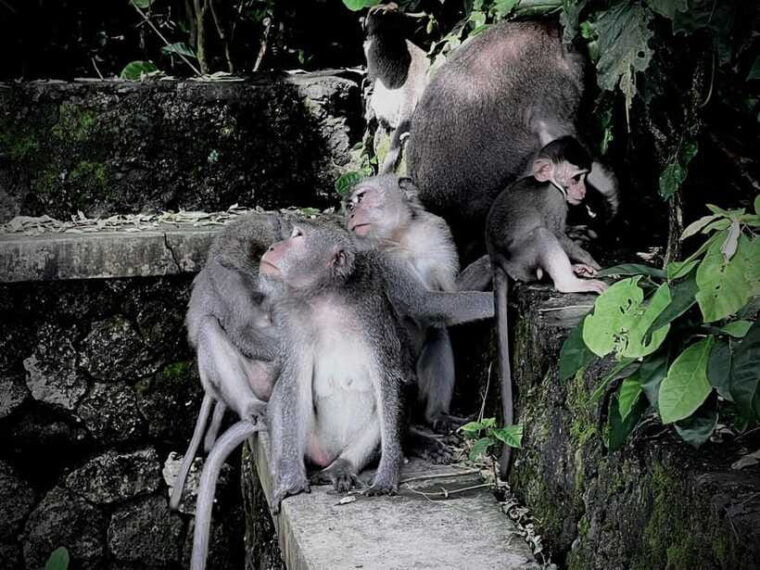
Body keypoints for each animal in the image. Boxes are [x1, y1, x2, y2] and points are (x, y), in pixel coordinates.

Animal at [345, 174, 464, 432]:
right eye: (349, 205)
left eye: (361, 197)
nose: (350, 214)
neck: (403, 236)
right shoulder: (383, 260)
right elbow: (425, 304)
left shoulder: (437, 231)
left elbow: (448, 297)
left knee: (437, 334)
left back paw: (437, 415)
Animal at [486, 137, 607, 478]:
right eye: (577, 178)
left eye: (585, 176)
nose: (583, 193)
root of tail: (497, 262)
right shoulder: (555, 199)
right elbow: (557, 234)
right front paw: (592, 261)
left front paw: (588, 263)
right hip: (524, 260)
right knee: (542, 236)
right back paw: (570, 282)